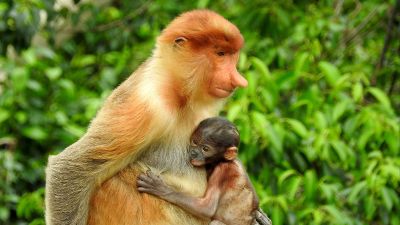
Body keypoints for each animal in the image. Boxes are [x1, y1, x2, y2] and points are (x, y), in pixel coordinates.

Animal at [138, 117, 272, 225]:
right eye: (194, 142)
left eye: (205, 149)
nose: (193, 153)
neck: (222, 160)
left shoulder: (221, 171)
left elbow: (207, 208)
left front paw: (160, 188)